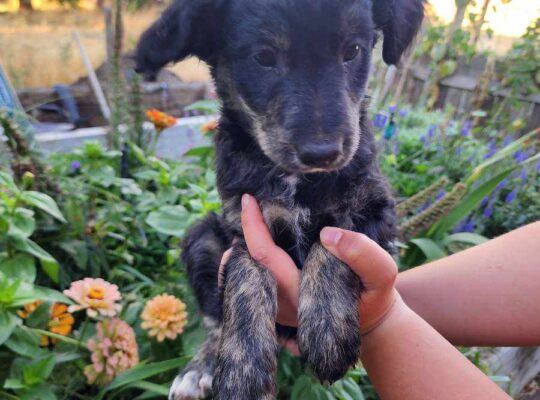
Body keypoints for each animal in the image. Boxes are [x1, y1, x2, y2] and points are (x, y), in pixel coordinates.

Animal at [135, 1, 422, 398]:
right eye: (264, 57)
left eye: (352, 51)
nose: (322, 153)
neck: (297, 181)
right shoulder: (244, 221)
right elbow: (244, 278)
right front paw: (242, 373)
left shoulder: (375, 208)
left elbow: (330, 240)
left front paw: (328, 331)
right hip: (201, 237)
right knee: (214, 318)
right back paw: (199, 368)